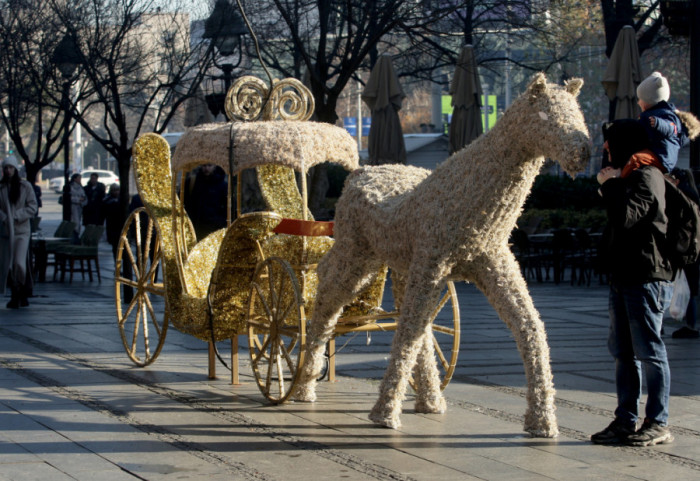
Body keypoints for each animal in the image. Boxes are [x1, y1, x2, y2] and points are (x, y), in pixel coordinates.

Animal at [294, 73, 592, 436]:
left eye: (577, 111)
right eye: (546, 114)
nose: (584, 151)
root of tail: (358, 172)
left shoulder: (493, 266)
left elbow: (531, 327)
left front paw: (543, 422)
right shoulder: (433, 264)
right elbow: (409, 332)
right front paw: (384, 414)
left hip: (401, 265)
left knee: (408, 320)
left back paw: (430, 401)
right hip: (358, 255)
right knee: (325, 300)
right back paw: (304, 387)